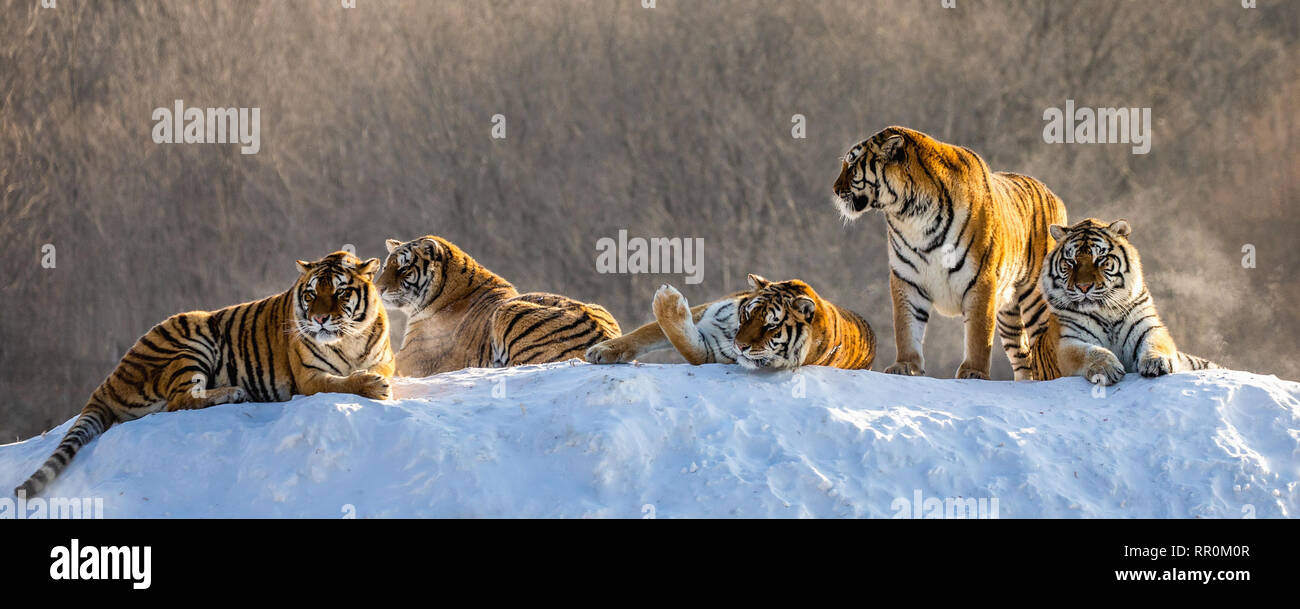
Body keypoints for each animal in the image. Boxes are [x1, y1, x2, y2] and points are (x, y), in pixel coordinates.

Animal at [15, 249, 392, 497]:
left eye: (340, 291)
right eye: (312, 294)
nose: (319, 319)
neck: (348, 340)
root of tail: (108, 381)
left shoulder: (384, 358)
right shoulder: (310, 378)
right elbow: (342, 383)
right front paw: (373, 386)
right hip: (193, 338)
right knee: (179, 400)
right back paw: (234, 392)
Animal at [832, 125, 1066, 377]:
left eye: (852, 165)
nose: (834, 190)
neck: (911, 215)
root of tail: (1055, 196)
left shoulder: (981, 279)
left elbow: (978, 334)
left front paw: (974, 372)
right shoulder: (907, 278)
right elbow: (906, 327)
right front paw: (905, 365)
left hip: (1036, 299)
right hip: (1008, 313)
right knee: (1023, 357)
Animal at [1024, 216, 1216, 382]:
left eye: (1100, 258)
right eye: (1071, 261)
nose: (1084, 287)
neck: (1106, 311)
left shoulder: (1148, 326)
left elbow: (1155, 343)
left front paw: (1156, 362)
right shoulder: (1067, 340)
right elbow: (1089, 352)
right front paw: (1106, 368)